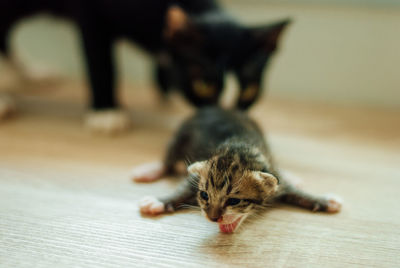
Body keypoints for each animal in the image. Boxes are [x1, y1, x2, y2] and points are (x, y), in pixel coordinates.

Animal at [0, 0, 290, 133]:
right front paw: (106, 112)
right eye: (203, 85)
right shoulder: (91, 11)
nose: (228, 122)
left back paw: (29, 73)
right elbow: (100, 61)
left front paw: (164, 85)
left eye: (249, 91)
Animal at [133, 106, 342, 232]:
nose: (213, 218)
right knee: (168, 159)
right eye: (204, 195)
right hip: (181, 134)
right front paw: (159, 201)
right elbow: (183, 188)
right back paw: (151, 170)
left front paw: (324, 200)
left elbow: (294, 191)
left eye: (233, 201)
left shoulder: (273, 173)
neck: (238, 147)